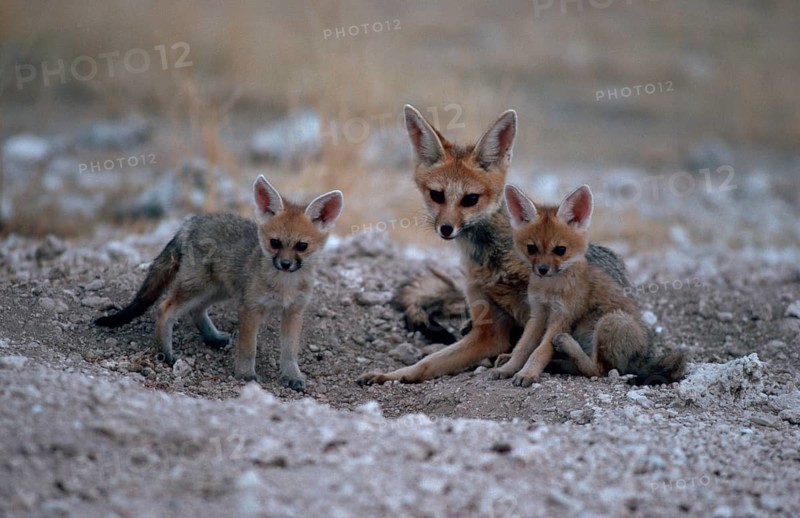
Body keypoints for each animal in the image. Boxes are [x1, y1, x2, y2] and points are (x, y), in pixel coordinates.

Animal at [95, 175, 344, 391]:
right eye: (275, 243)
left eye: (302, 246)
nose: (284, 264)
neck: (285, 286)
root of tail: (192, 221)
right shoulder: (250, 308)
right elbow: (248, 347)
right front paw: (245, 374)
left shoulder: (294, 311)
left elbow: (290, 352)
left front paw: (292, 376)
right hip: (199, 287)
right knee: (166, 308)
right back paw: (166, 353)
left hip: (219, 290)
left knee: (196, 310)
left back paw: (212, 338)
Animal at [357, 105, 630, 385]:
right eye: (437, 195)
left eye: (471, 199)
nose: (446, 229)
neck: (493, 261)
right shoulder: (490, 328)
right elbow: (428, 362)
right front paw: (391, 375)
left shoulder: (541, 309)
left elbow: (536, 342)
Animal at [495, 183, 686, 386]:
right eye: (531, 249)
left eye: (560, 250)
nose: (542, 269)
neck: (549, 288)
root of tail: (643, 356)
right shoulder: (538, 315)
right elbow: (521, 348)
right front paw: (508, 369)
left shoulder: (562, 318)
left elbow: (540, 352)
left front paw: (528, 373)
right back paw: (559, 362)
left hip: (611, 321)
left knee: (599, 370)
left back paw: (567, 346)